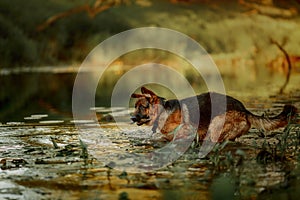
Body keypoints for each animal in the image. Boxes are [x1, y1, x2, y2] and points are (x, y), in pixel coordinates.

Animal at [131, 87, 298, 142]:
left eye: (143, 107)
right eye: (135, 107)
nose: (132, 118)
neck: (163, 112)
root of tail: (244, 110)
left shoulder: (188, 132)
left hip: (215, 126)